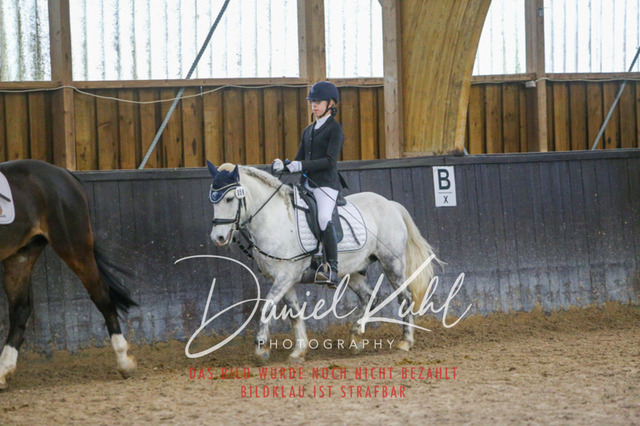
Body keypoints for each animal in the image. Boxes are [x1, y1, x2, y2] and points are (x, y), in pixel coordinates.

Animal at [0, 159, 137, 390]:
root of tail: (64, 173)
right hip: (20, 255)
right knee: (19, 309)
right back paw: (3, 370)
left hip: (73, 244)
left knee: (102, 297)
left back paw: (124, 362)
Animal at [206, 162, 440, 362]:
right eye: (213, 200)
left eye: (229, 199)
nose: (218, 238)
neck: (273, 219)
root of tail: (389, 204)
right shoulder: (285, 278)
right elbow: (294, 313)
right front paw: (298, 351)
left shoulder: (286, 275)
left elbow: (267, 305)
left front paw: (262, 348)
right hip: (352, 272)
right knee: (369, 297)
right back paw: (355, 338)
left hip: (392, 262)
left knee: (405, 297)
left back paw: (405, 342)